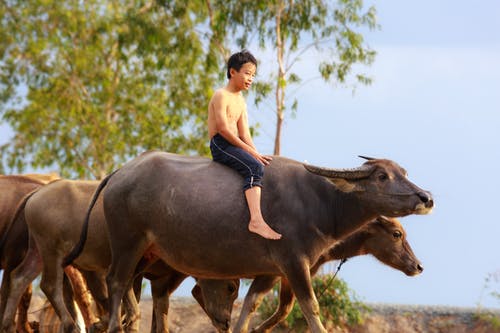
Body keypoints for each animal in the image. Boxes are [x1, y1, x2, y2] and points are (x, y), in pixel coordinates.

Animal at [232, 215, 420, 332]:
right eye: (397, 233)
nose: (418, 266)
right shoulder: (279, 271)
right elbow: (254, 302)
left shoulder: (292, 274)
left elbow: (285, 308)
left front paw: (257, 329)